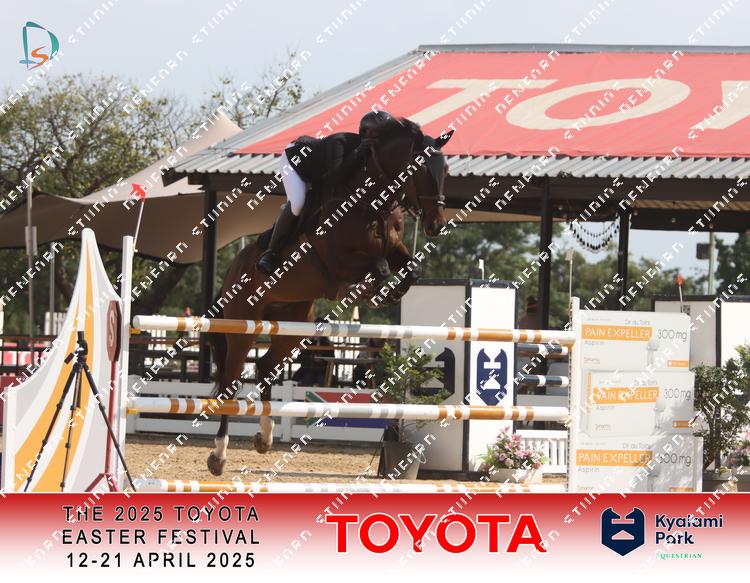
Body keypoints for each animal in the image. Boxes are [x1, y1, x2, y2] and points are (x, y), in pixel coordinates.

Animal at [206, 119, 453, 476]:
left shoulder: (395, 248)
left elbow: (411, 268)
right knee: (230, 381)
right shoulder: (338, 260)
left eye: (445, 169)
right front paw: (373, 293)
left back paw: (264, 437)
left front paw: (389, 294)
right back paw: (219, 455)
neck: (373, 201)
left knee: (265, 366)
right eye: (420, 168)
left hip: (293, 325)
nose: (436, 225)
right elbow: (377, 267)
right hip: (242, 325)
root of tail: (230, 275)